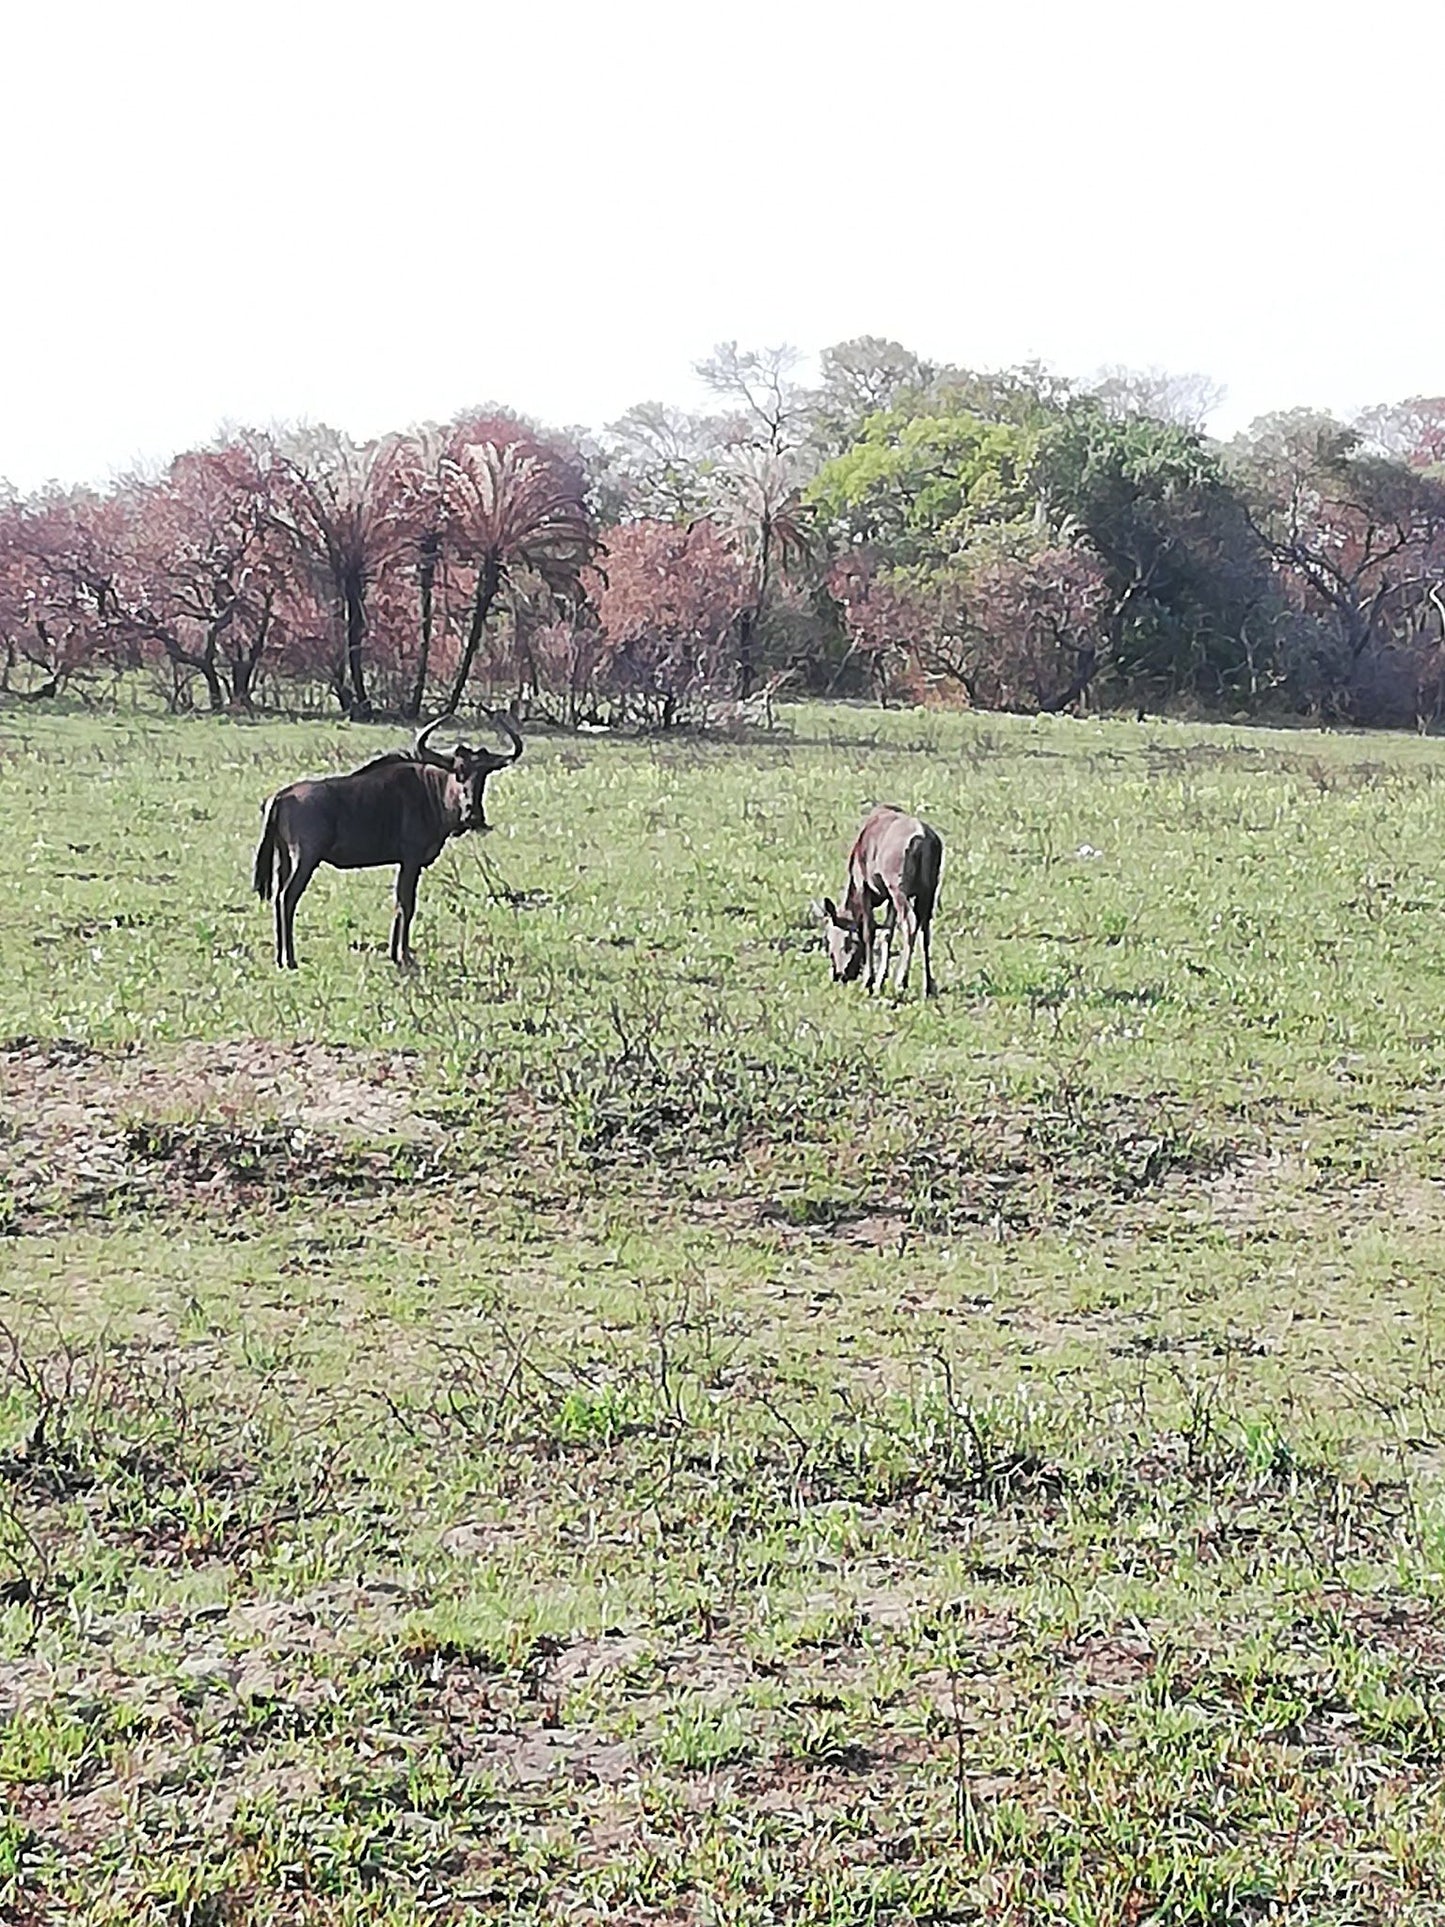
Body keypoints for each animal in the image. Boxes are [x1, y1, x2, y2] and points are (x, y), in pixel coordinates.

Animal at [256, 716, 527, 971]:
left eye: (484, 775)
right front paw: (402, 956)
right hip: (305, 859)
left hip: (285, 859)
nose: (473, 815)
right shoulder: (411, 860)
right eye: (459, 772)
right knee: (287, 897)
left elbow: (400, 904)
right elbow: (406, 904)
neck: (431, 790)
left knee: (278, 897)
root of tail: (281, 795)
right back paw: (290, 960)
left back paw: (280, 958)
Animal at [820, 805, 944, 1002]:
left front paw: (869, 981)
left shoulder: (864, 886)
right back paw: (929, 986)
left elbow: (868, 931)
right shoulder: (889, 899)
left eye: (830, 939)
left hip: (898, 886)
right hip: (929, 888)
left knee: (910, 923)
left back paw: (901, 981)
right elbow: (887, 933)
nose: (840, 975)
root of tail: (924, 839)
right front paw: (880, 980)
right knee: (925, 929)